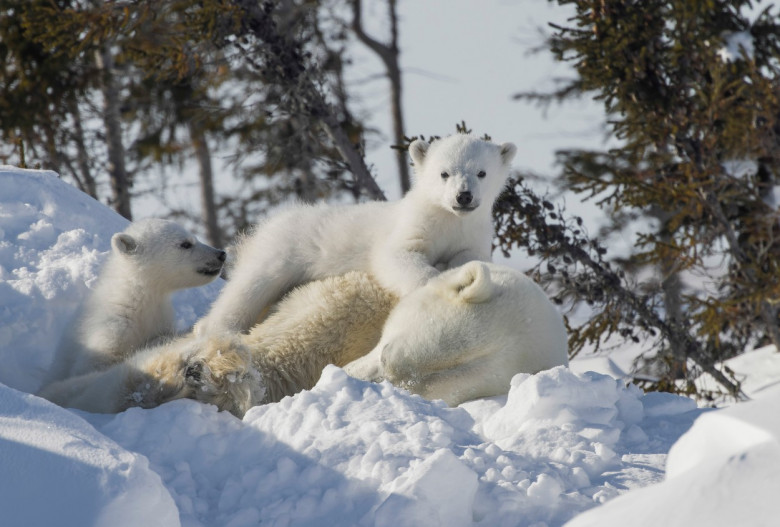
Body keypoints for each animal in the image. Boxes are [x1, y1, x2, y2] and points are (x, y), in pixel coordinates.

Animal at [195, 134, 516, 336]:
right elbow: (396, 256)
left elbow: (470, 256)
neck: (448, 218)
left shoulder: (472, 231)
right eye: (444, 173)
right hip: (282, 250)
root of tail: (270, 224)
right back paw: (218, 327)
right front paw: (433, 284)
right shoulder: (413, 224)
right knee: (250, 287)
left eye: (482, 172)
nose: (464, 196)